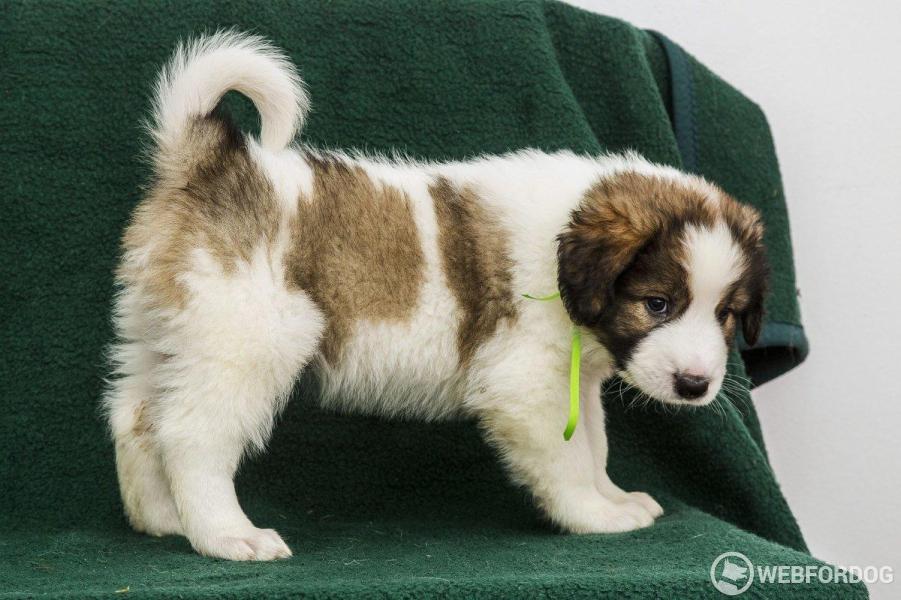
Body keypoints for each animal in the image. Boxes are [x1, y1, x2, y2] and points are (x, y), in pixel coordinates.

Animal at [105, 32, 768, 561]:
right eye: (658, 304)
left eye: (727, 315)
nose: (696, 385)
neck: (561, 250)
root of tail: (210, 161)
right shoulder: (528, 385)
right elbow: (570, 459)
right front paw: (596, 515)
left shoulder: (572, 378)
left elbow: (593, 444)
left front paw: (616, 496)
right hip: (245, 340)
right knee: (191, 435)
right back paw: (227, 536)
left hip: (165, 332)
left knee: (136, 417)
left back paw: (163, 521)